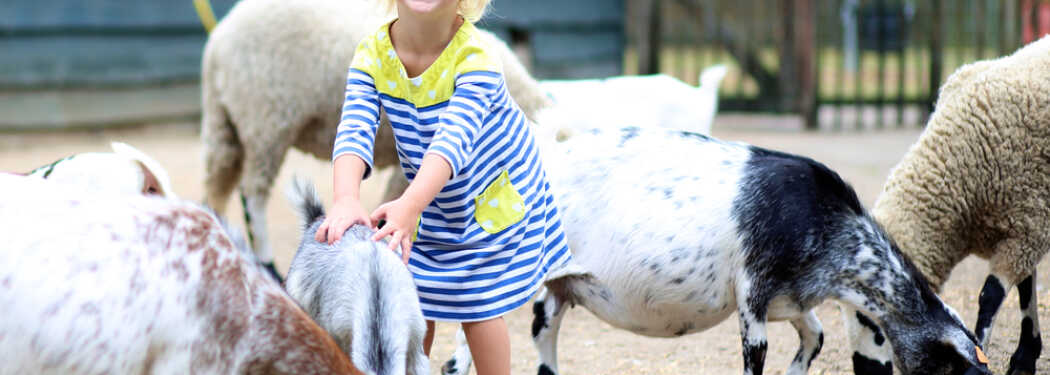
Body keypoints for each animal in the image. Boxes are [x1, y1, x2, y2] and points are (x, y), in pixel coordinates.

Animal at [438, 125, 986, 373]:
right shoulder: (753, 296)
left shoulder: (791, 299)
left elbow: (814, 337)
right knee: (461, 357)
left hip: (557, 289)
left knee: (541, 342)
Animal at [844, 34, 1050, 373]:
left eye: (872, 321)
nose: (865, 370)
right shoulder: (1025, 224)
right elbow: (1025, 288)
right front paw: (1025, 355)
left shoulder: (1029, 223)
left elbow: (990, 296)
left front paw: (984, 353)